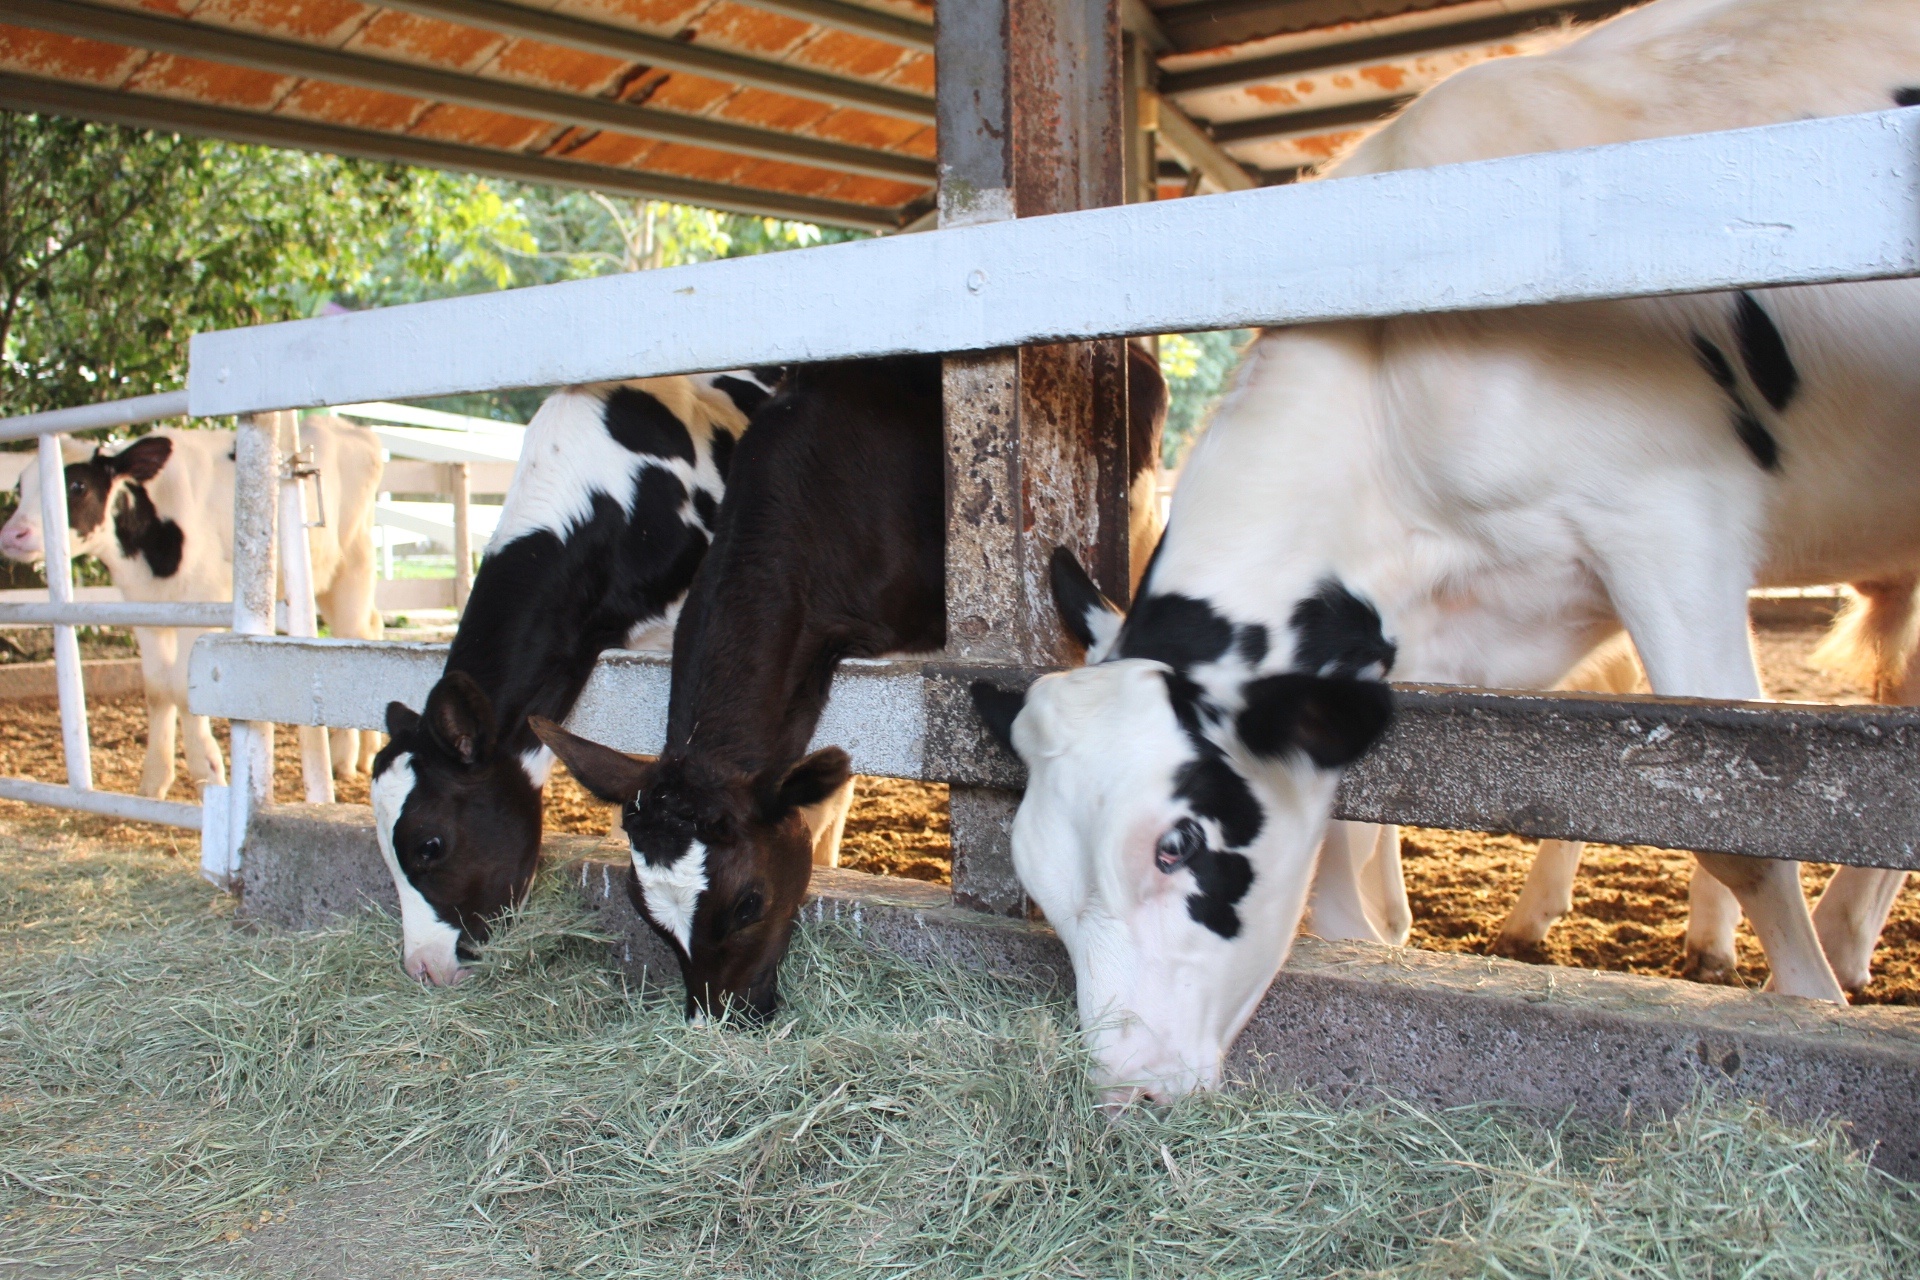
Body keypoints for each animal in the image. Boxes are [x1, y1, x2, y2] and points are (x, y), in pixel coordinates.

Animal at [1, 420, 385, 802]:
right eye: (19, 488)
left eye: (77, 485)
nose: (12, 535)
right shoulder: (147, 611)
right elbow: (157, 690)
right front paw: (154, 780)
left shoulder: (201, 602)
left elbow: (185, 691)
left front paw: (208, 770)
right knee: (371, 627)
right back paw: (364, 754)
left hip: (351, 565)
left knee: (355, 636)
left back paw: (344, 758)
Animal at [967, 0, 1920, 1105]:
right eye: (1039, 882)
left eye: (1180, 842)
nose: (1129, 1085)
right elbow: (1357, 844)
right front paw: (1373, 938)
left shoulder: (1670, 527)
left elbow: (1755, 823)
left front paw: (1810, 1006)